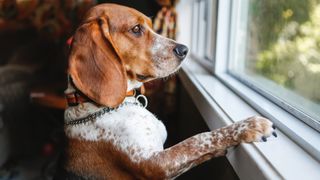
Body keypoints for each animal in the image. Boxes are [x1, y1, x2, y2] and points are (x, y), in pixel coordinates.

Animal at [58, 3, 278, 180]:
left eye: (150, 25)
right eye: (136, 29)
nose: (184, 50)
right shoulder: (156, 164)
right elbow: (198, 140)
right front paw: (249, 126)